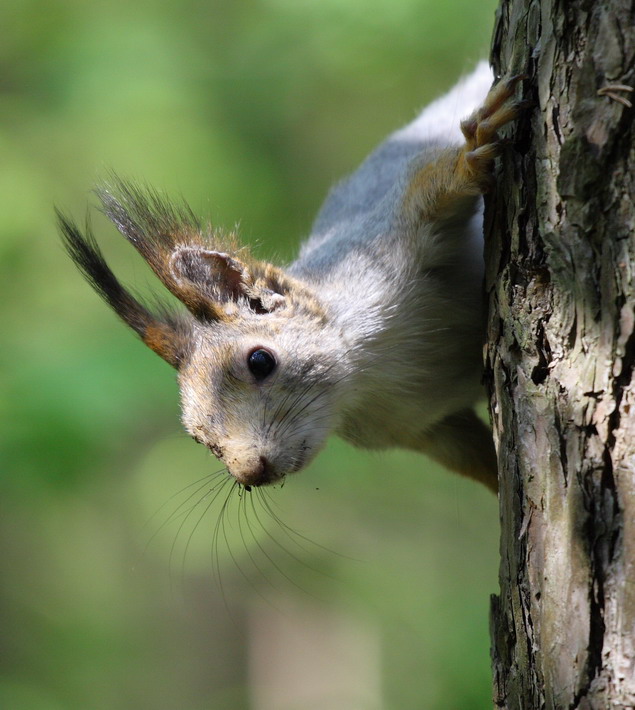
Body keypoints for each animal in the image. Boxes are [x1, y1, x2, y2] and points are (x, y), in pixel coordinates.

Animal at [59, 65, 524, 496]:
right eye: (198, 437)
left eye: (260, 361)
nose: (250, 473)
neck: (364, 375)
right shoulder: (428, 429)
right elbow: (474, 457)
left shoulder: (386, 240)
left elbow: (437, 186)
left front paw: (473, 154)